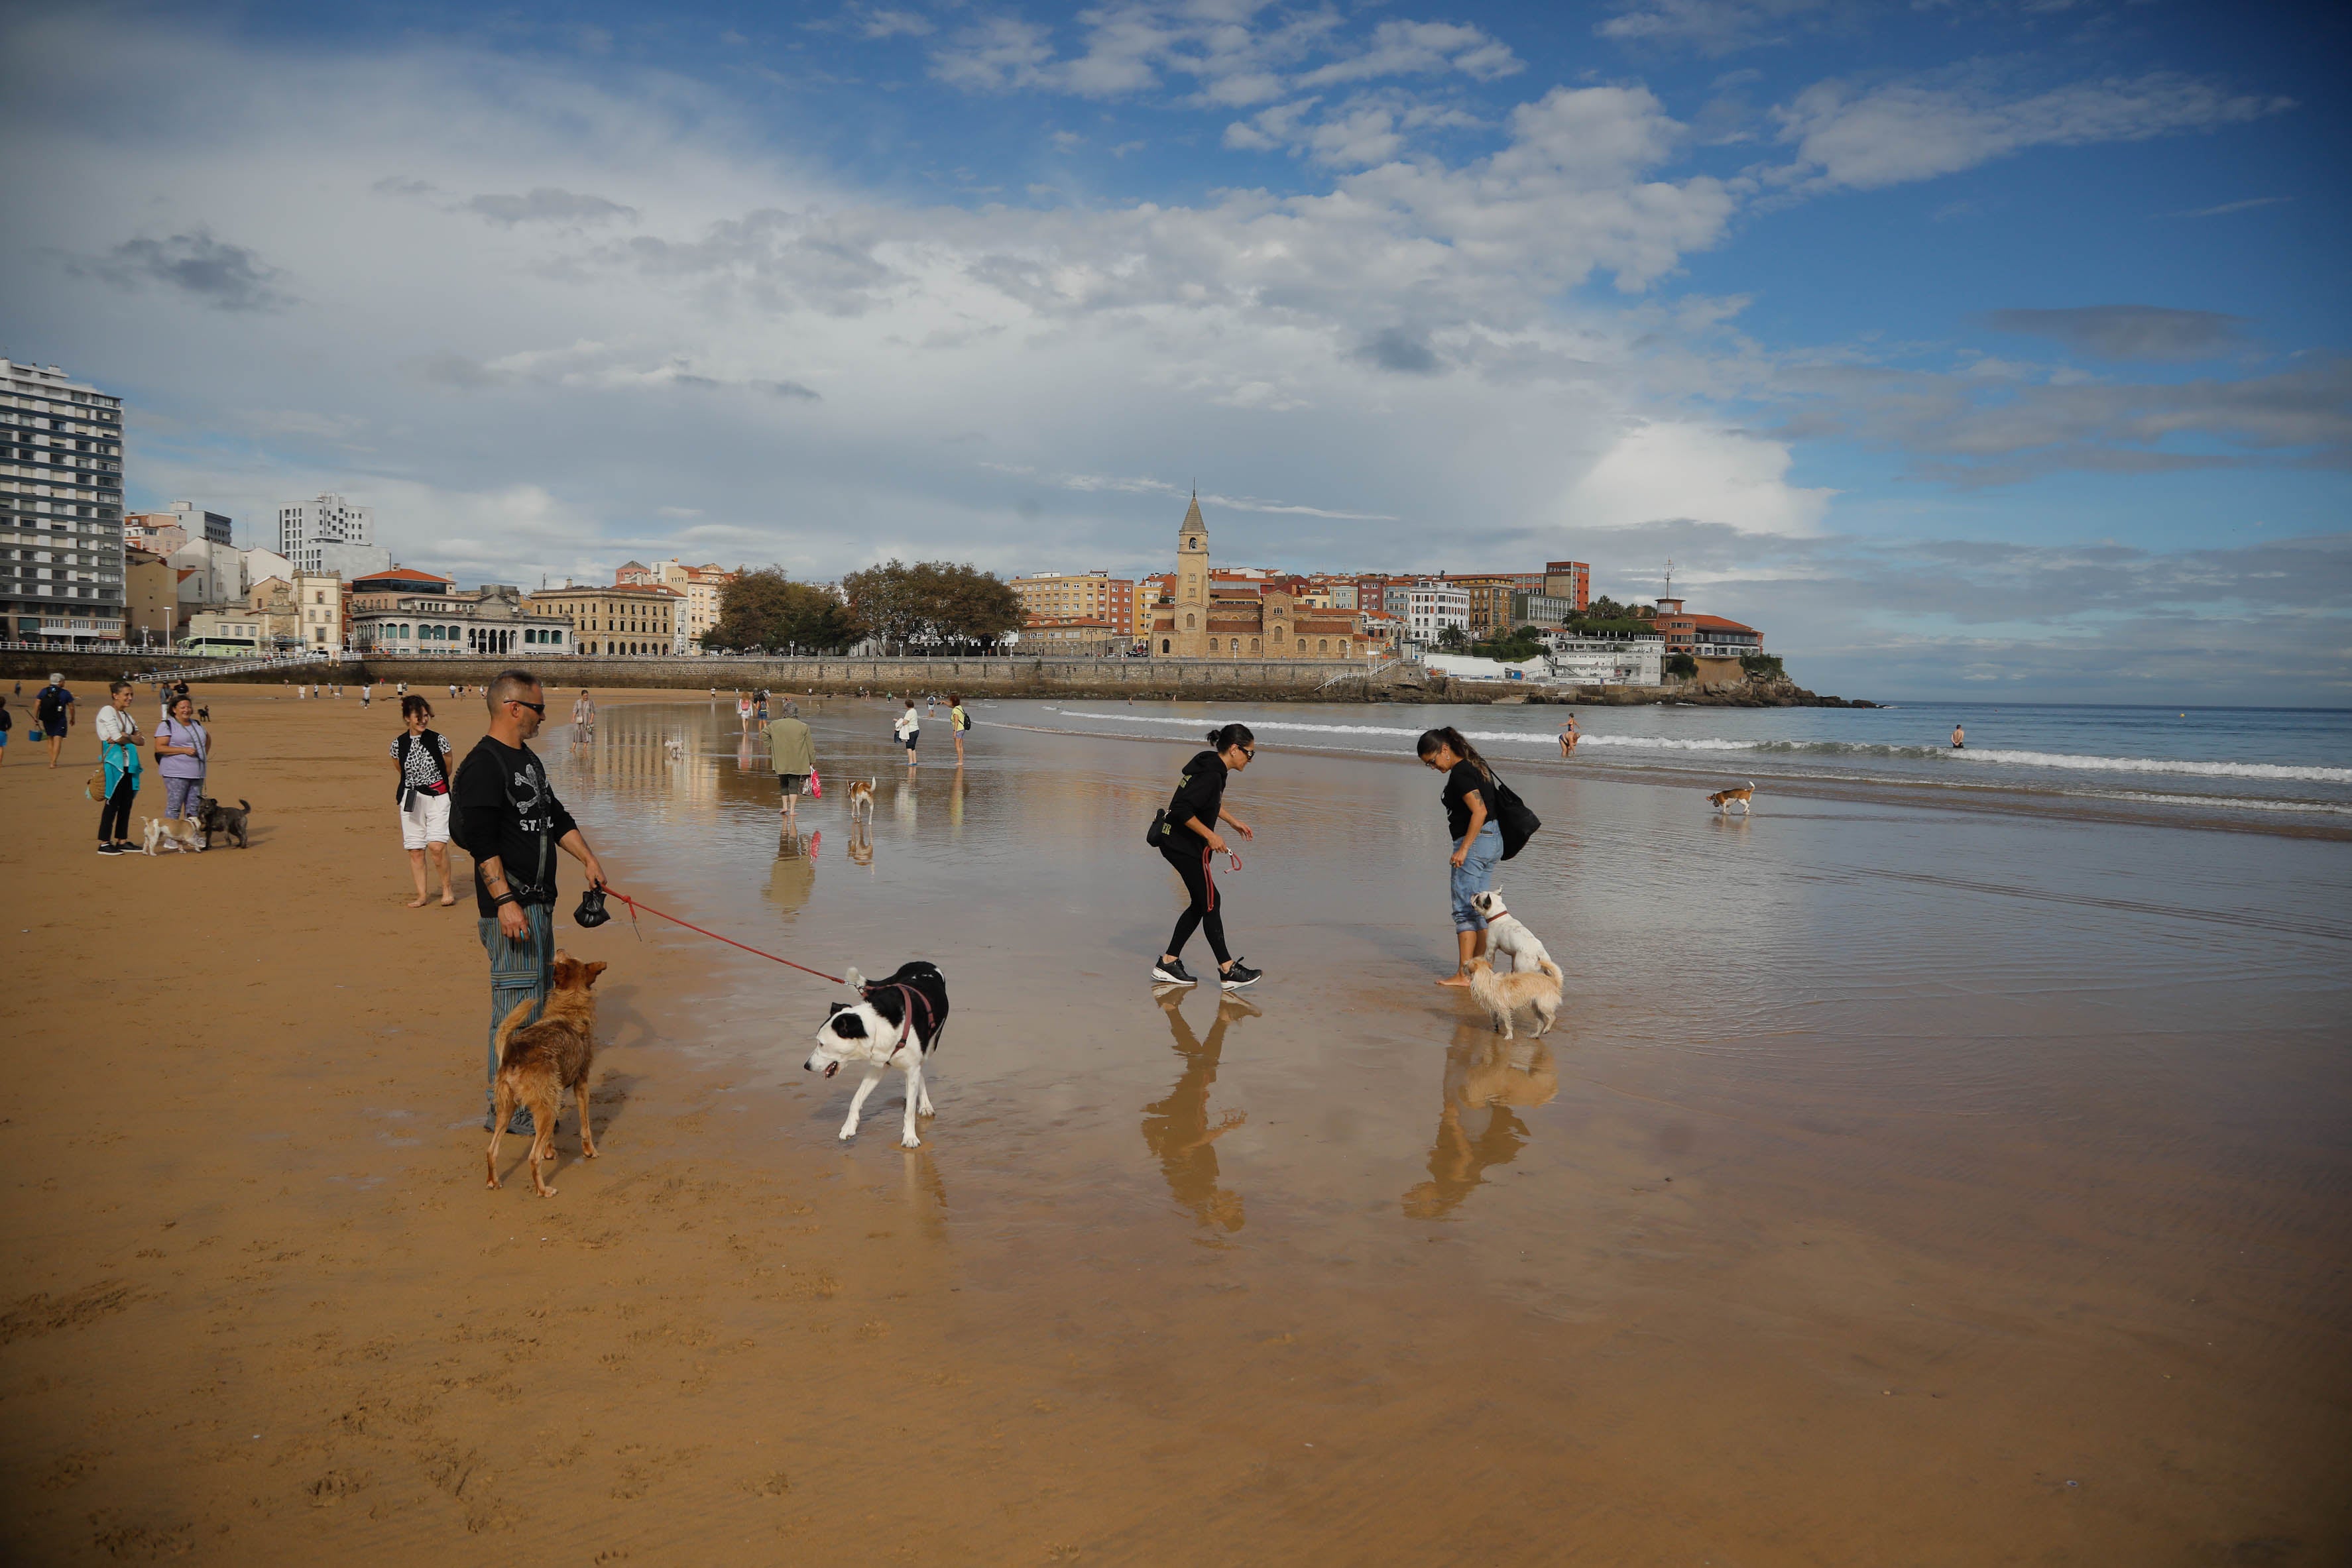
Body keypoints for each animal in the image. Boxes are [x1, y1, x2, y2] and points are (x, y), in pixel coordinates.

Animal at [477, 950, 602, 1194]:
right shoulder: (581, 1083)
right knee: (533, 1159)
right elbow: (586, 1126)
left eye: (567, 957)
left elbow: (549, 1137)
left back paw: (493, 1181)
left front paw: (550, 1151)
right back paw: (544, 1191)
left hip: (508, 1107)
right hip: (547, 1108)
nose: (559, 949)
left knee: (491, 1150)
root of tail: (513, 1053)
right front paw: (590, 1151)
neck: (570, 1005)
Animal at [804, 964, 950, 1147]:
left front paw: (910, 1137)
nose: (807, 1066)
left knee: (920, 1068)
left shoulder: (910, 1063)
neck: (878, 1025)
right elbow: (856, 1098)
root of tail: (924, 963)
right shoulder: (879, 1065)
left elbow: (910, 1111)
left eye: (821, 1043)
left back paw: (924, 1104)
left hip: (930, 1045)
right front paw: (849, 1128)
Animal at [1467, 888, 1561, 973]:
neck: (1499, 916)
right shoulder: (1513, 955)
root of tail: (1538, 954)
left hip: (1523, 968)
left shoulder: (1490, 949)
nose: (1474, 893)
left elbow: (1489, 961)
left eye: (1478, 899)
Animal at [1467, 959, 1561, 1043]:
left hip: (1544, 1006)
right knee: (1541, 1022)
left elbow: (1508, 1024)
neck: (1488, 980)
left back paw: (1547, 1029)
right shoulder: (1494, 1007)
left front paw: (1509, 1036)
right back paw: (1535, 1035)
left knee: (1553, 1017)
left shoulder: (1504, 1010)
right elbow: (1493, 1017)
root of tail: (1554, 981)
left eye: (1466, 965)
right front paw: (1495, 1026)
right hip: (1536, 1008)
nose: (1464, 964)